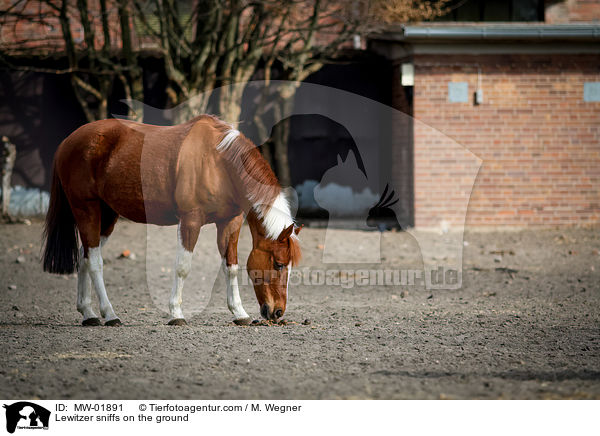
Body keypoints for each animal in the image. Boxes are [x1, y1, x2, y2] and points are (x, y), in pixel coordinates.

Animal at [42, 116, 300, 328]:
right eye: (278, 264)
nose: (278, 312)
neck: (219, 163)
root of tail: (68, 141)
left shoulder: (230, 222)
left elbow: (231, 267)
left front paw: (239, 313)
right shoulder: (190, 221)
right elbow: (182, 267)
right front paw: (176, 313)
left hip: (107, 216)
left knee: (84, 257)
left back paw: (88, 313)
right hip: (86, 209)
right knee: (95, 262)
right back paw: (110, 314)